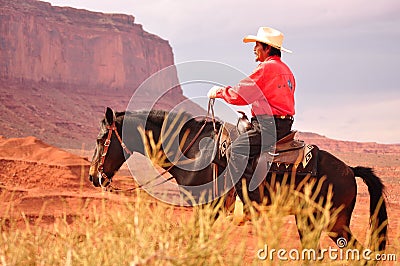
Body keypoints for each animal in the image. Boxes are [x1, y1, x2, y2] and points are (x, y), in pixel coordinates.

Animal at [88, 106, 388, 254]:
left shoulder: (207, 208)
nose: (93, 177)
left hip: (330, 223)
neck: (191, 148)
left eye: (101, 139)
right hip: (315, 223)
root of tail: (349, 169)